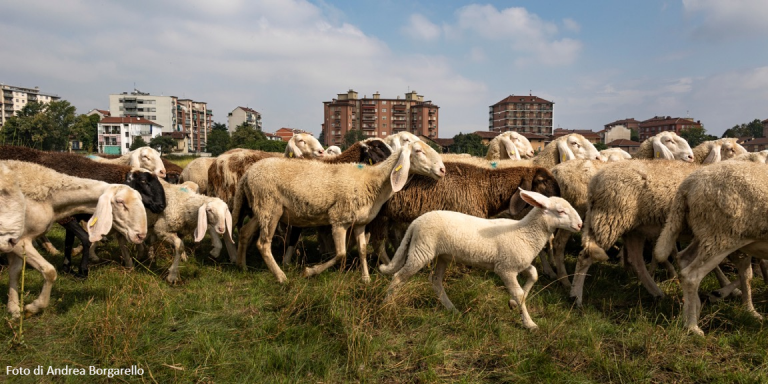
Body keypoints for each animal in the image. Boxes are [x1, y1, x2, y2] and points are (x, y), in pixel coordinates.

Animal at [1, 159, 147, 318]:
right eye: (120, 202)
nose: (141, 235)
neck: (50, 198)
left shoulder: (16, 243)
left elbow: (14, 272)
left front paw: (14, 309)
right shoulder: (18, 241)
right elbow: (49, 271)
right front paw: (33, 307)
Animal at [236, 140, 450, 282]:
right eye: (418, 150)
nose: (442, 170)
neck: (373, 180)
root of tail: (248, 174)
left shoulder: (360, 222)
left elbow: (362, 249)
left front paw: (366, 278)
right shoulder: (339, 220)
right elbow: (341, 254)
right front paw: (310, 271)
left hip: (261, 208)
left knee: (245, 232)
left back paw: (242, 266)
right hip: (269, 207)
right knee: (263, 244)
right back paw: (281, 277)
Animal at [378, 189, 584, 330]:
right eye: (561, 212)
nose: (580, 225)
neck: (525, 233)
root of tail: (415, 223)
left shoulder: (518, 262)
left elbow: (533, 275)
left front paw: (512, 304)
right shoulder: (505, 268)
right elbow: (519, 293)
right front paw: (529, 323)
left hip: (442, 255)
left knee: (435, 280)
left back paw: (452, 309)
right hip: (421, 250)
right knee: (398, 277)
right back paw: (386, 305)